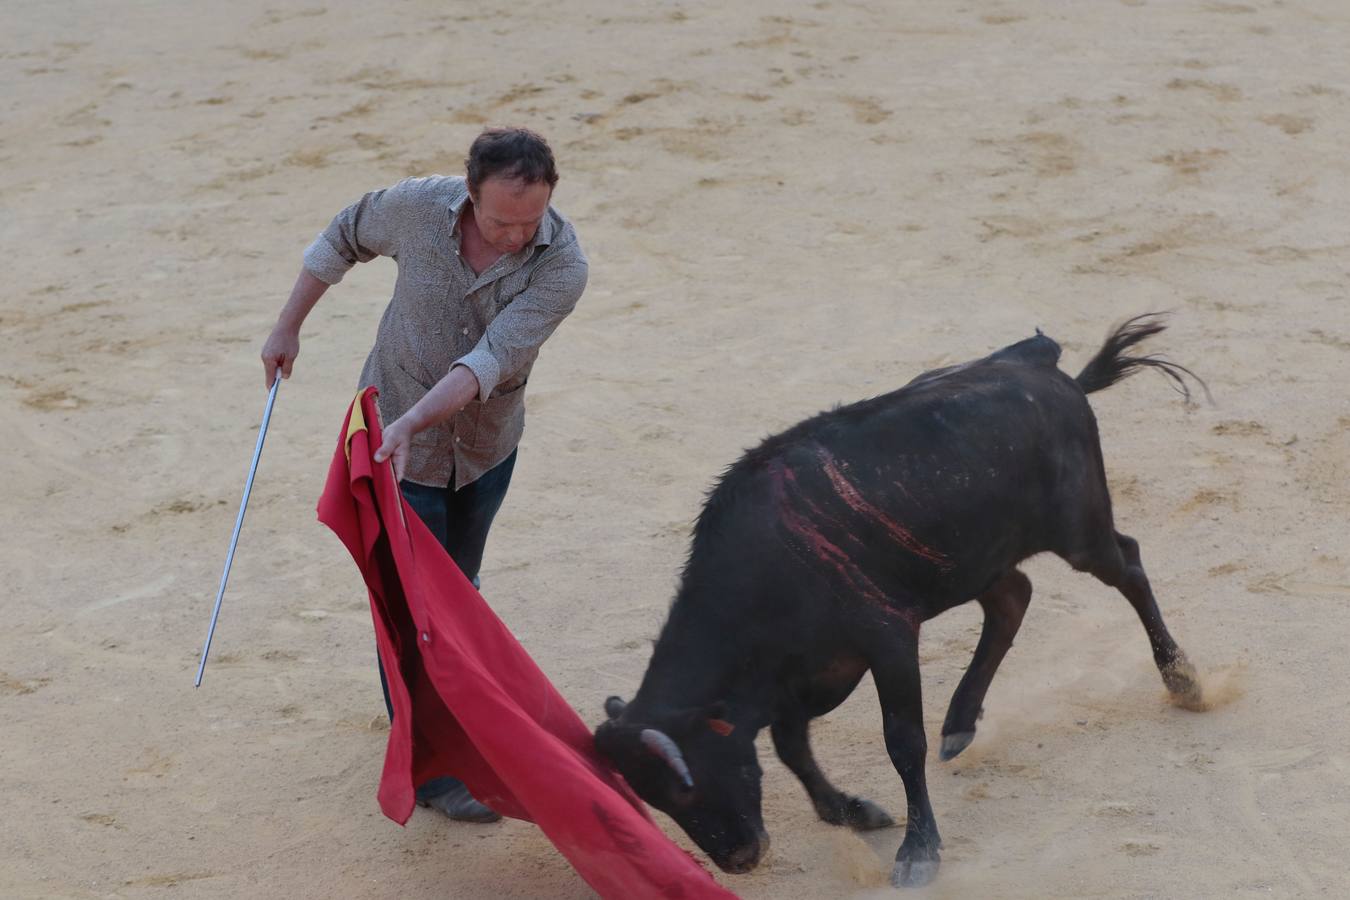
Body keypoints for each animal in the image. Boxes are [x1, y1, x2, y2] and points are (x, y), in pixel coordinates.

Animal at [596, 317, 1209, 885]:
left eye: (687, 787)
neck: (764, 573)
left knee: (1128, 567)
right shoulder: (801, 677)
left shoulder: (887, 640)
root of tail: (1037, 361)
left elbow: (901, 741)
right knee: (1013, 598)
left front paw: (919, 851)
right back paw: (960, 723)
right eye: (654, 799)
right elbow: (791, 745)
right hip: (976, 559)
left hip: (1080, 532)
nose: (739, 859)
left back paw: (1183, 680)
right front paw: (850, 811)